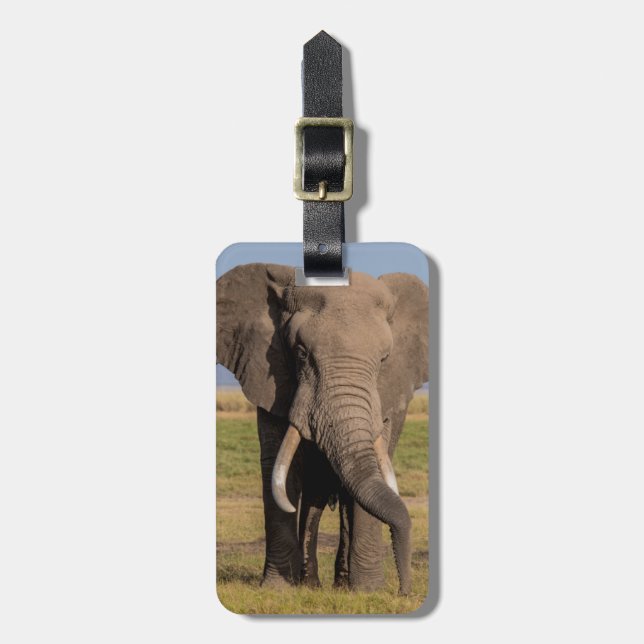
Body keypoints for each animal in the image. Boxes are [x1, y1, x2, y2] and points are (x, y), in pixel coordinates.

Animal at [216, 263, 428, 595]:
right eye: (301, 353)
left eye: (384, 359)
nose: (405, 591)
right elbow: (279, 470)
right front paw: (278, 590)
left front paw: (368, 592)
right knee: (313, 496)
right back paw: (312, 583)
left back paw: (341, 584)